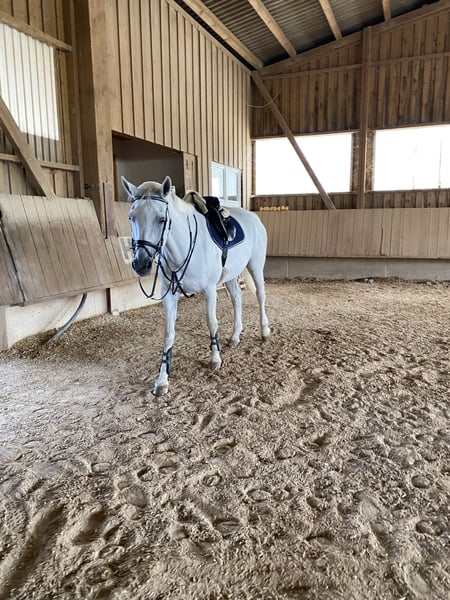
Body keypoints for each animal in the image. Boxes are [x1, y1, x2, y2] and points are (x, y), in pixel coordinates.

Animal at [121, 175, 270, 396]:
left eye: (161, 219)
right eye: (131, 217)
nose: (141, 264)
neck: (183, 248)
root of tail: (254, 218)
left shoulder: (209, 291)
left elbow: (212, 323)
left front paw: (215, 358)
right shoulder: (169, 296)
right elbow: (168, 333)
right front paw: (162, 379)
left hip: (255, 266)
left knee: (260, 295)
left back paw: (264, 331)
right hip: (231, 275)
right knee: (237, 299)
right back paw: (235, 337)